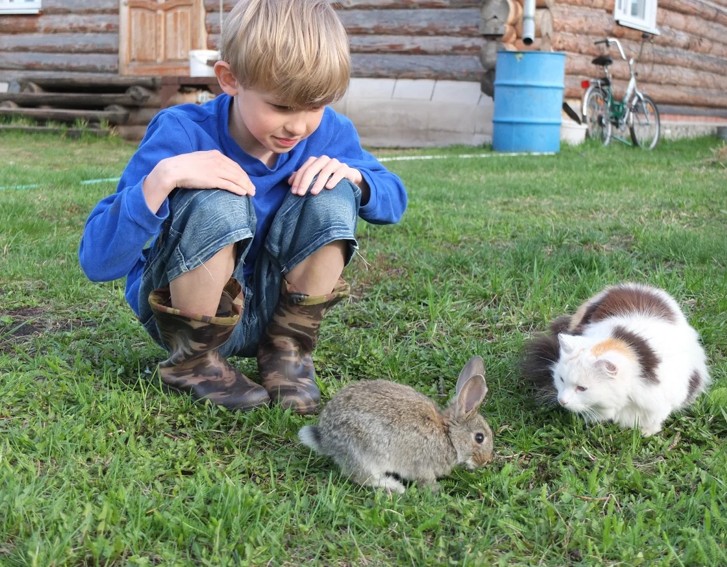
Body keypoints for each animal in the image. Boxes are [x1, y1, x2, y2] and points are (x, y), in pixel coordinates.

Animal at [298, 358, 494, 494]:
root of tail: (325, 439)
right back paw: (395, 486)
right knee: (363, 478)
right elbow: (426, 480)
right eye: (479, 437)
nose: (485, 461)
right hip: (364, 453)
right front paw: (436, 490)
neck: (449, 435)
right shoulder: (423, 466)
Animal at [524, 282, 712, 438]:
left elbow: (656, 417)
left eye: (582, 388)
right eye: (561, 379)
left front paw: (646, 432)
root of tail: (636, 285)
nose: (562, 401)